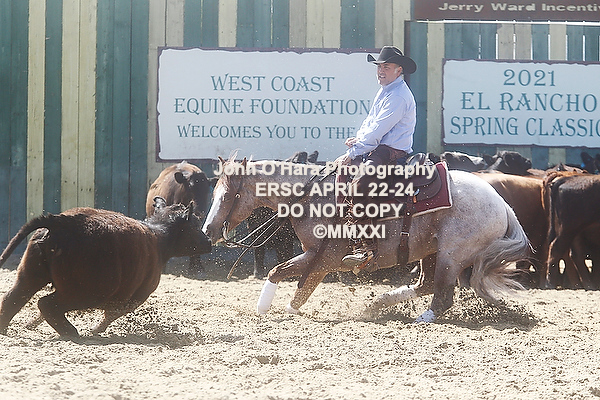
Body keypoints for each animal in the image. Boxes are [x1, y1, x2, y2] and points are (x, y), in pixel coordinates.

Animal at [0, 198, 211, 338]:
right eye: (195, 225)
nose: (208, 241)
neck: (159, 237)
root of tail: (62, 222)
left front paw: (31, 324)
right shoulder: (134, 297)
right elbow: (111, 315)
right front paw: (95, 330)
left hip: (29, 277)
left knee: (12, 299)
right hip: (84, 292)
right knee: (47, 304)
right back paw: (72, 332)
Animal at [203, 158, 529, 323]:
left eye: (228, 195)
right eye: (214, 191)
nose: (208, 230)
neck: (311, 196)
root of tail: (502, 204)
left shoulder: (325, 258)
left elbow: (289, 279)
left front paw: (269, 311)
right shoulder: (315, 257)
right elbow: (289, 281)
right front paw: (273, 310)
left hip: (451, 254)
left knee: (443, 295)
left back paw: (421, 318)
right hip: (431, 251)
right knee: (425, 285)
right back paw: (378, 304)